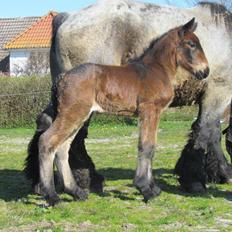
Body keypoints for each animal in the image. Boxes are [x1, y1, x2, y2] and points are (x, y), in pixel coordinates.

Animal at [39, 18, 209, 205]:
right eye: (191, 44)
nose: (205, 71)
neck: (156, 70)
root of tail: (62, 78)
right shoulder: (149, 110)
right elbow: (146, 146)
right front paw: (145, 189)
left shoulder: (154, 114)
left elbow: (152, 147)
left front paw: (153, 188)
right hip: (73, 114)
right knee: (47, 141)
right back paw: (52, 196)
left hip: (78, 116)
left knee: (62, 148)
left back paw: (76, 192)